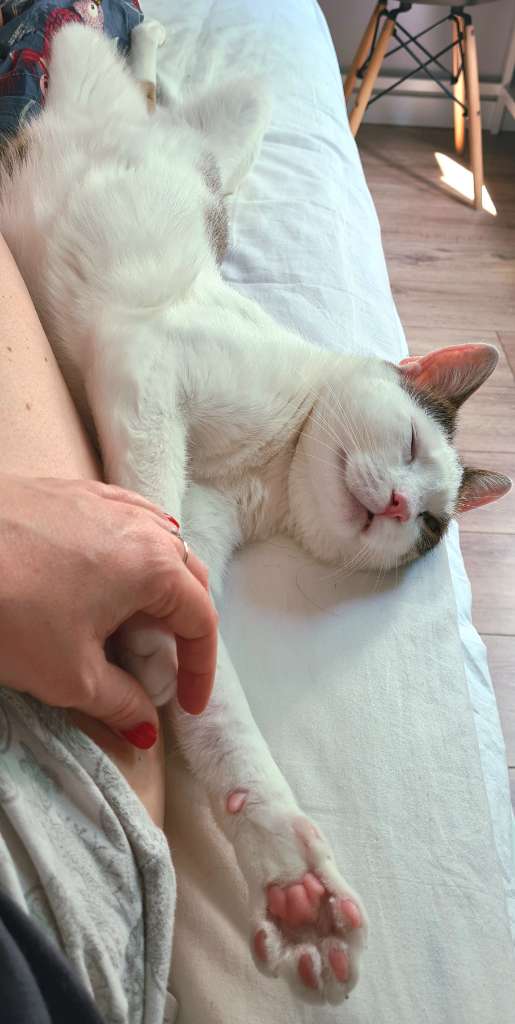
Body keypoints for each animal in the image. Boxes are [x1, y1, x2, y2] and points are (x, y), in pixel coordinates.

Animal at [0, 22, 510, 1003]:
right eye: (413, 452)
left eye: (428, 527)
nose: (400, 502)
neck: (269, 471)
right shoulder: (146, 360)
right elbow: (157, 524)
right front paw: (143, 588)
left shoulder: (205, 511)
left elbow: (215, 711)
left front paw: (293, 882)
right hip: (133, 88)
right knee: (102, 54)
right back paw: (130, 41)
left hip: (235, 115)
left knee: (157, 91)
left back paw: (150, 50)